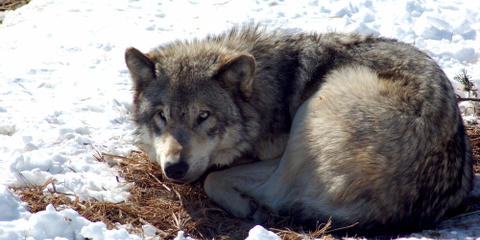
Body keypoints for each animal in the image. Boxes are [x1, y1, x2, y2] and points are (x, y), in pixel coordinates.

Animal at [125, 25, 474, 235]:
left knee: (274, 192)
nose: (175, 168)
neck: (269, 91)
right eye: (162, 116)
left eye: (204, 116)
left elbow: (215, 177)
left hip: (317, 104)